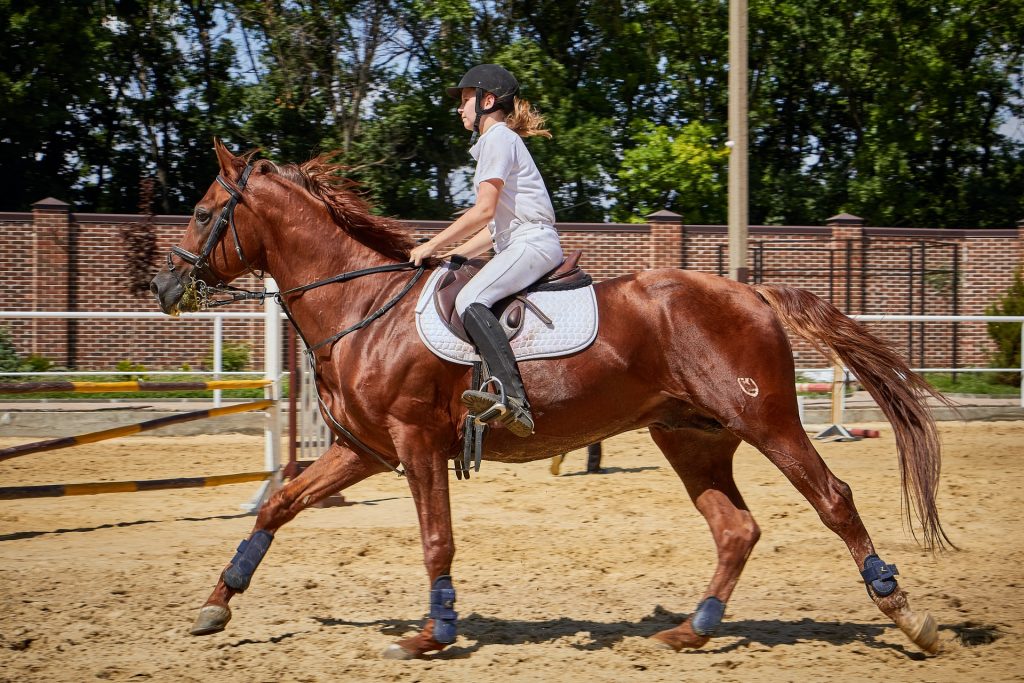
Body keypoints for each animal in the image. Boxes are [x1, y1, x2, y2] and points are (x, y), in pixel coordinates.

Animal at [150, 140, 953, 659]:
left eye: (202, 212)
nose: (163, 286)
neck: (362, 307)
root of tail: (748, 290)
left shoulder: (415, 444)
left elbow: (436, 538)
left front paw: (431, 634)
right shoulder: (365, 451)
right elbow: (279, 504)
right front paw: (219, 601)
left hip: (767, 419)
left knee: (834, 500)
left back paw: (907, 615)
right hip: (691, 435)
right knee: (735, 529)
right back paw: (692, 628)